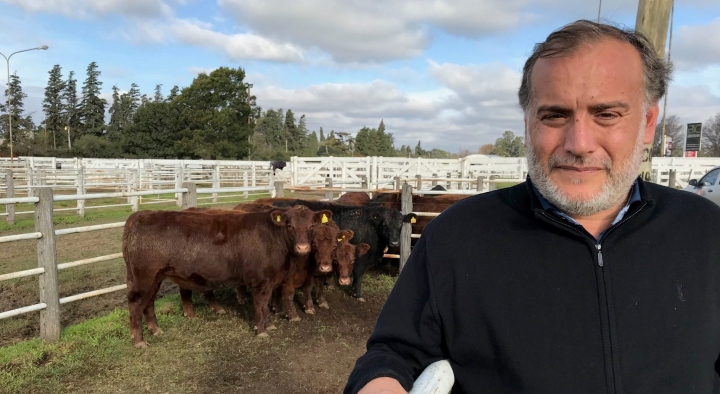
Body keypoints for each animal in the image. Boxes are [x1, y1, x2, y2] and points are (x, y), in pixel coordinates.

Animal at [124, 206, 324, 348]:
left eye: (312, 226)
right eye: (290, 226)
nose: (303, 248)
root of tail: (139, 216)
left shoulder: (271, 281)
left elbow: (266, 305)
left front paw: (269, 325)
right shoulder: (261, 281)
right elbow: (260, 305)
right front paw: (261, 330)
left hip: (155, 278)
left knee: (149, 303)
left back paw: (156, 330)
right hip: (143, 278)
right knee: (136, 305)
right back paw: (139, 341)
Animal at [243, 199, 416, 304]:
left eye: (400, 225)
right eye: (385, 225)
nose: (395, 242)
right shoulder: (360, 259)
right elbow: (358, 276)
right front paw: (358, 294)